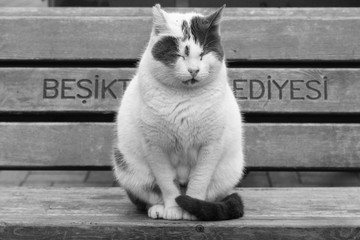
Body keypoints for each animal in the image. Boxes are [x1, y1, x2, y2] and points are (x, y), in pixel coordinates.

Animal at [112, 4, 245, 221]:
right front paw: (173, 209)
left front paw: (190, 209)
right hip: (126, 166)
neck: (185, 97)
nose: (194, 70)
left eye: (203, 54)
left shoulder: (211, 145)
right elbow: (167, 183)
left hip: (229, 170)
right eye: (180, 55)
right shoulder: (155, 146)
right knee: (149, 194)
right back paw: (158, 208)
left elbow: (199, 180)